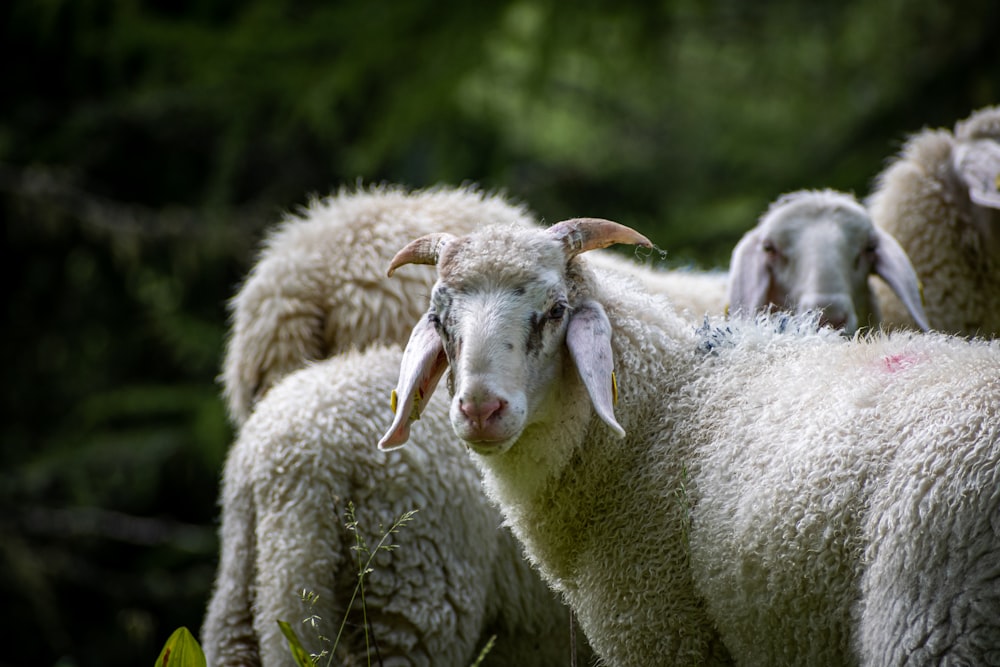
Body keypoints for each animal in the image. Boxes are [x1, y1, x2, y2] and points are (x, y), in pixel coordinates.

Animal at [376, 219, 1000, 667]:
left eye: (554, 311)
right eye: (440, 318)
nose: (481, 410)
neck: (666, 402)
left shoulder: (659, 624)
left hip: (934, 614)